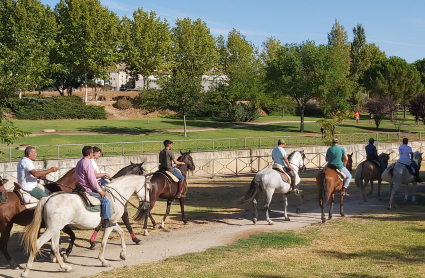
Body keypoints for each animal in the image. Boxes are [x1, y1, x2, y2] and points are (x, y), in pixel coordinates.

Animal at [19, 175, 150, 276]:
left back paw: (65, 267)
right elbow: (104, 242)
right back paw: (26, 271)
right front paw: (103, 261)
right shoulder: (109, 225)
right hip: (52, 229)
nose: (147, 204)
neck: (115, 196)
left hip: (56, 229)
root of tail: (48, 198)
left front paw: (123, 254)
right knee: (37, 243)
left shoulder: (112, 222)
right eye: (148, 188)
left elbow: (122, 233)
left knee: (55, 247)